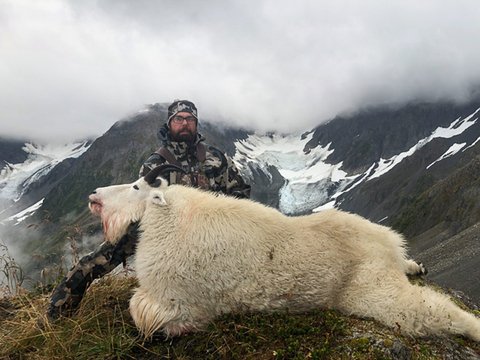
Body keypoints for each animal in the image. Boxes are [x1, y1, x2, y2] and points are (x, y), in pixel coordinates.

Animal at [88, 165, 480, 340]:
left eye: (136, 186)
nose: (94, 194)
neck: (172, 218)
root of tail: (387, 243)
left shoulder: (180, 304)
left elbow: (140, 312)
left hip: (376, 293)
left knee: (432, 312)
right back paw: (418, 266)